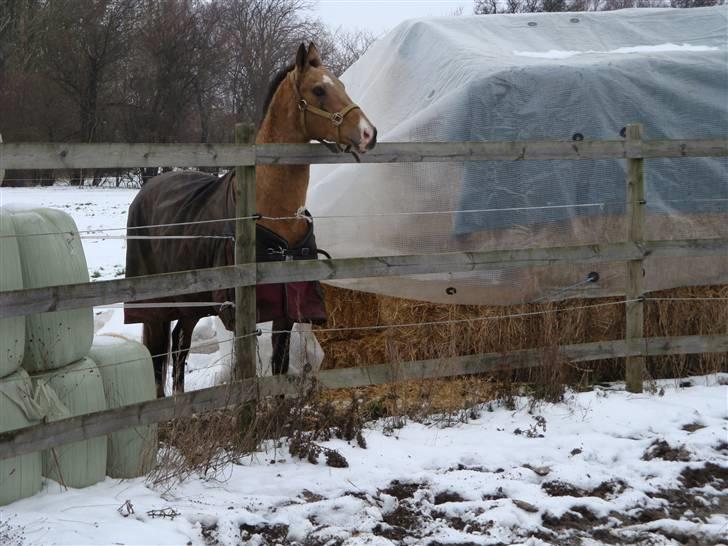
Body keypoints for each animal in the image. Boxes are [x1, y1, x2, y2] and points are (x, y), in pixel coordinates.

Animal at [124, 39, 378, 396]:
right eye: (318, 90)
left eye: (341, 85)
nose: (369, 133)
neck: (276, 217)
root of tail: (146, 189)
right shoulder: (245, 315)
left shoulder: (286, 312)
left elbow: (279, 365)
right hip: (157, 304)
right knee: (158, 355)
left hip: (191, 303)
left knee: (180, 346)